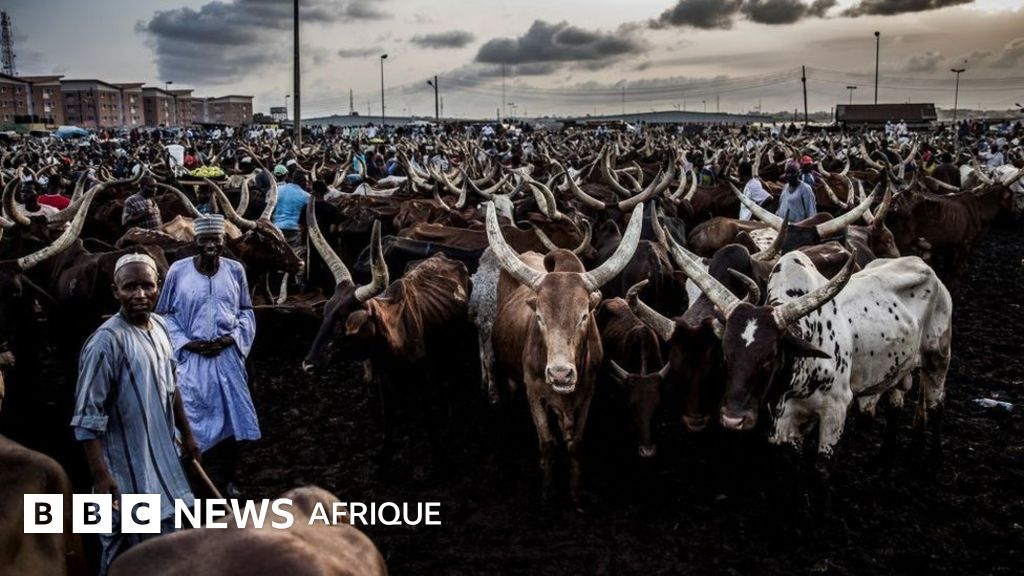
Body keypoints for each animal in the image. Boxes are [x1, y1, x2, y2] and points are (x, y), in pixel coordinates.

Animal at [488, 202, 644, 506]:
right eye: (539, 317)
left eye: (584, 316)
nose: (560, 374)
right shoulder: (534, 392)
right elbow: (547, 443)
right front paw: (548, 492)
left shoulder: (587, 392)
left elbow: (576, 444)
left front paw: (574, 494)